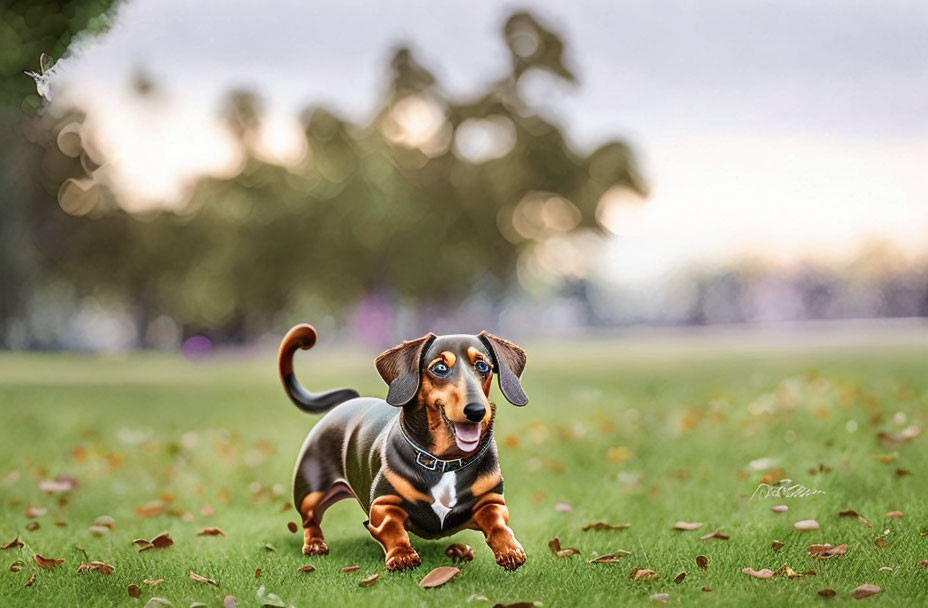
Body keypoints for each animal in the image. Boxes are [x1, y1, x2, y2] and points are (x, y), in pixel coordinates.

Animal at [278, 324, 528, 568]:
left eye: (482, 366)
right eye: (440, 368)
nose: (477, 411)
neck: (445, 462)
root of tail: (348, 403)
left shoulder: (491, 500)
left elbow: (498, 523)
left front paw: (510, 549)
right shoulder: (383, 505)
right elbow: (392, 528)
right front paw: (402, 554)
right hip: (310, 492)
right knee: (310, 520)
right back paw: (315, 544)